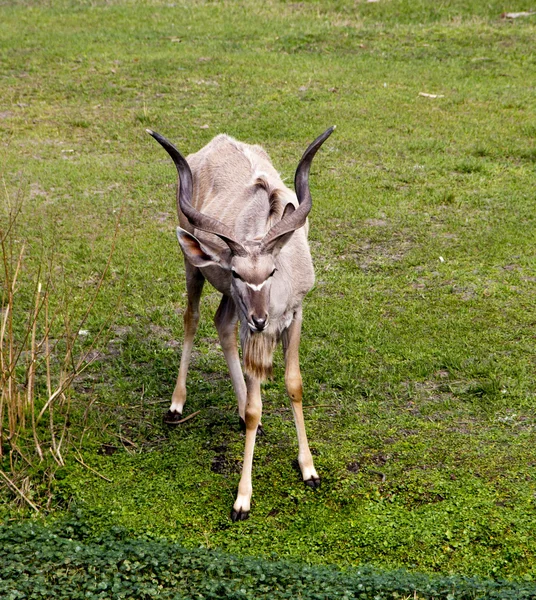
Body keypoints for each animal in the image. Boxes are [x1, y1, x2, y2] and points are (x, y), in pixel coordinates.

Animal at [147, 124, 336, 516]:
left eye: (272, 271)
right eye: (236, 272)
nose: (261, 319)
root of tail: (214, 143)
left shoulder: (296, 313)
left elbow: (294, 384)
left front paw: (309, 469)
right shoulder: (247, 318)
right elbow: (254, 407)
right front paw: (242, 499)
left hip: (232, 304)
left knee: (221, 324)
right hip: (194, 268)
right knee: (192, 318)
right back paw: (176, 404)